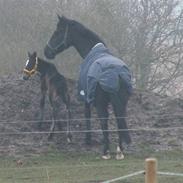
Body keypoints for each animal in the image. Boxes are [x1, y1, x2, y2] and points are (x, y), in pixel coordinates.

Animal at [44, 15, 133, 159]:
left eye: (58, 31)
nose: (46, 51)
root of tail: (116, 73)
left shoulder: (86, 97)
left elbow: (87, 116)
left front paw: (88, 140)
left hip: (101, 103)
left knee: (104, 120)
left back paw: (106, 151)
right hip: (121, 103)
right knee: (119, 120)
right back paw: (120, 151)